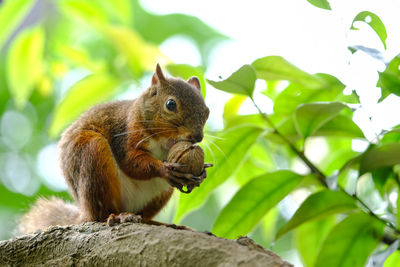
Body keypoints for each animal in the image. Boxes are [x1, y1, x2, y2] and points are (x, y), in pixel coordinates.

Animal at [19, 64, 209, 234]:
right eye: (170, 104)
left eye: (207, 111)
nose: (197, 137)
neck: (161, 143)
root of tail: (85, 212)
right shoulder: (125, 134)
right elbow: (131, 162)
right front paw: (164, 169)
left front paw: (202, 173)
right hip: (93, 155)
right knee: (101, 214)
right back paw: (117, 216)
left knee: (144, 217)